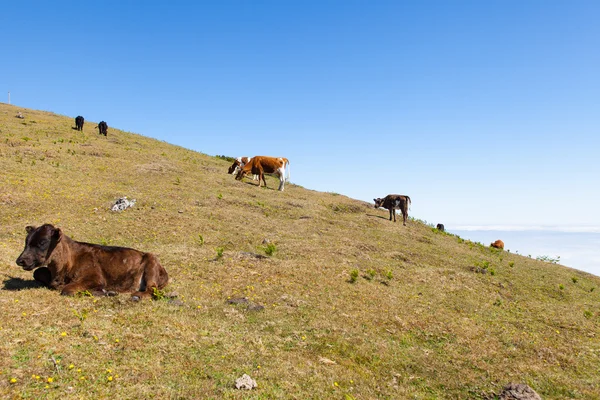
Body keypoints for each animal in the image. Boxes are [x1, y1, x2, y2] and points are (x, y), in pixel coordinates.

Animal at [15, 225, 169, 300]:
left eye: (42, 242)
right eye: (26, 241)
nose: (20, 260)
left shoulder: (94, 277)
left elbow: (67, 290)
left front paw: (107, 292)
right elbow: (38, 272)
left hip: (151, 265)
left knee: (152, 290)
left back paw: (136, 296)